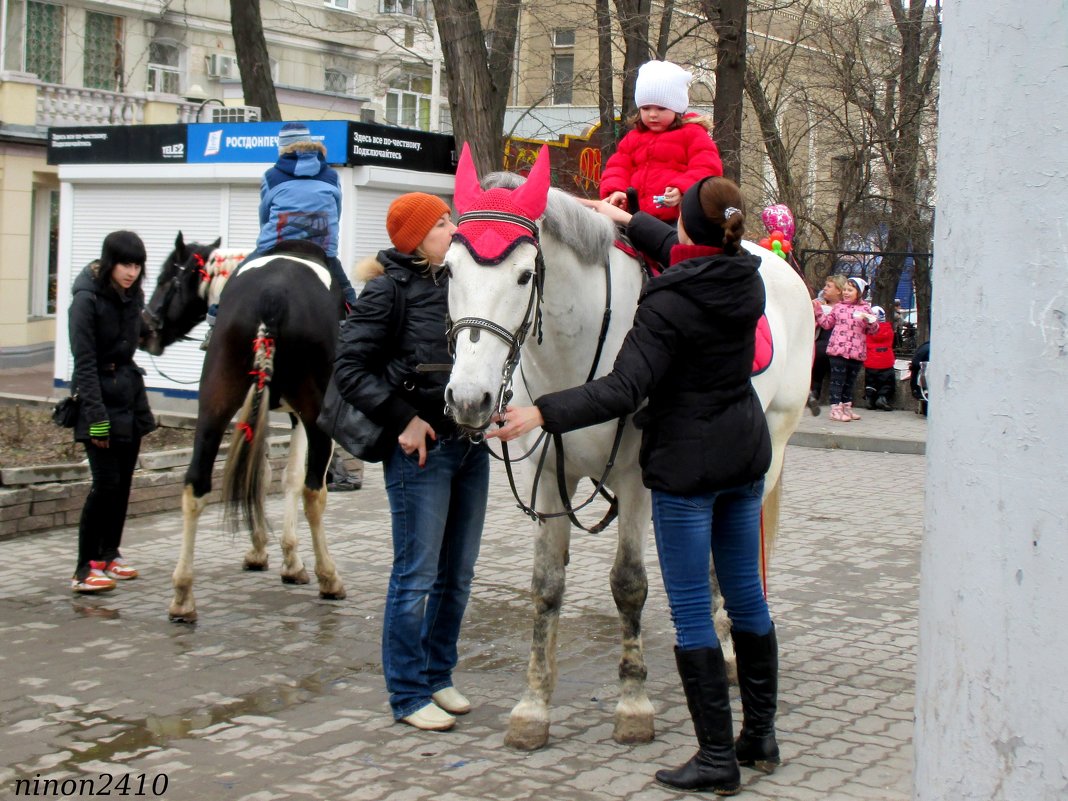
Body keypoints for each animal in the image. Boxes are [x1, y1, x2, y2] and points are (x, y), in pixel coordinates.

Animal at [442, 146, 807, 751]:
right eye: (448, 270)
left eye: (524, 275)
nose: (469, 399)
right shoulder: (549, 478)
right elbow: (546, 587)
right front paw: (533, 707)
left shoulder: (638, 482)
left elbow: (629, 585)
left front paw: (633, 703)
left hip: (770, 454)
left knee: (738, 554)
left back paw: (732, 647)